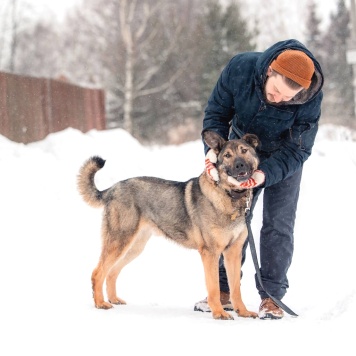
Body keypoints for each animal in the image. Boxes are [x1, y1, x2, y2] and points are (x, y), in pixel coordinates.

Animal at [78, 131, 260, 320]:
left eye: (244, 150)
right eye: (227, 155)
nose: (239, 165)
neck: (230, 195)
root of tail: (112, 189)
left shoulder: (233, 252)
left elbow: (236, 289)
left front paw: (243, 312)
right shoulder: (210, 253)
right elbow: (214, 288)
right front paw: (219, 313)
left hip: (134, 247)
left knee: (112, 272)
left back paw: (113, 299)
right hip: (119, 242)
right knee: (98, 272)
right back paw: (100, 303)